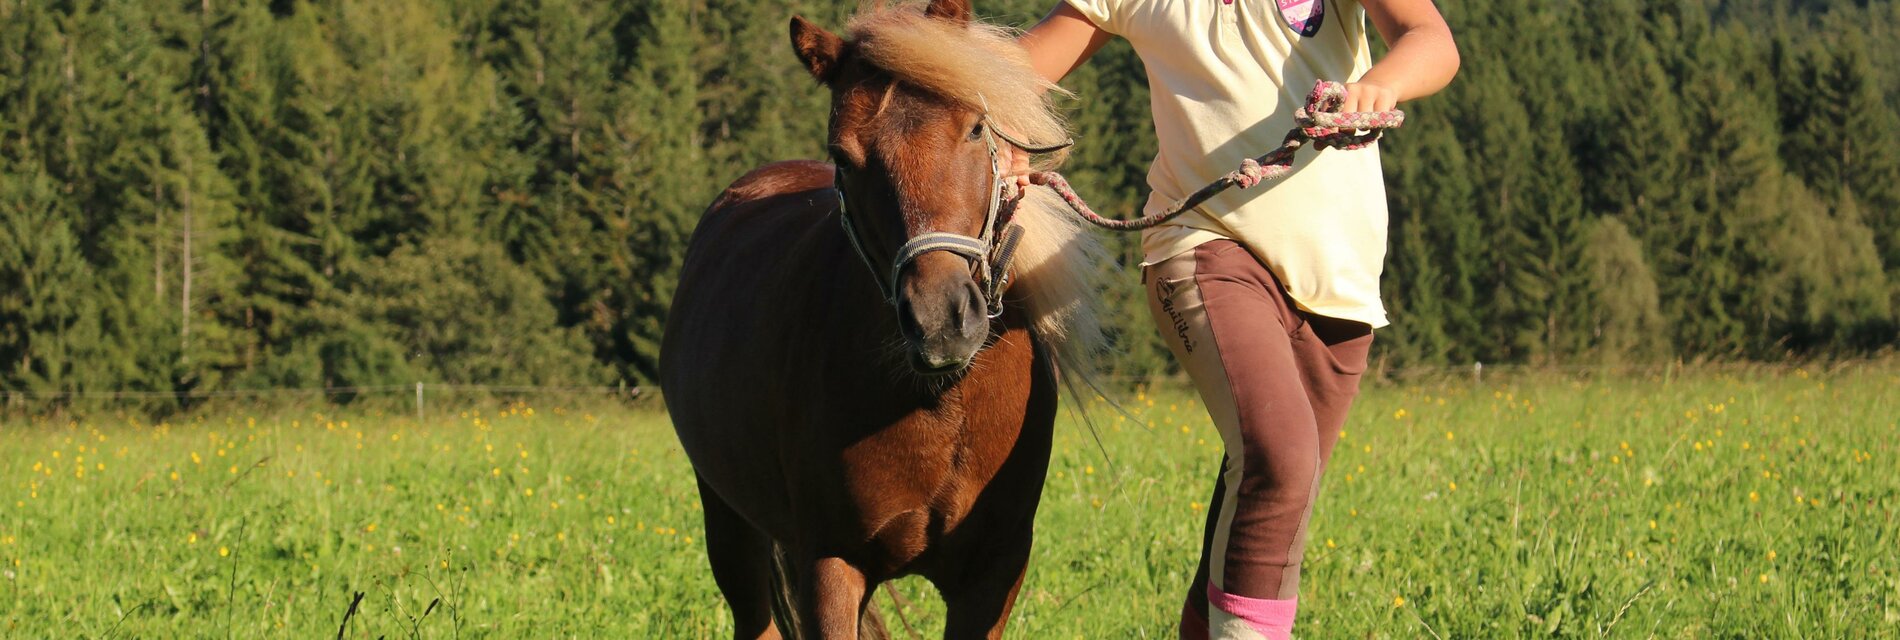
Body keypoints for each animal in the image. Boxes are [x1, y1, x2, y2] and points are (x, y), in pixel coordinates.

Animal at [657, 2, 1102, 634]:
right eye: (843, 157)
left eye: (975, 127)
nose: (941, 320)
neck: (943, 404)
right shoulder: (830, 566)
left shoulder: (994, 572)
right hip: (728, 521)